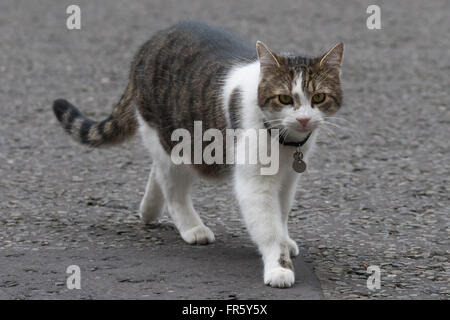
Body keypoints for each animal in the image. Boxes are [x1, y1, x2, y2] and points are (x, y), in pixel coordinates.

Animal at [52, 21, 342, 288]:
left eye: (318, 97)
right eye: (284, 99)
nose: (304, 119)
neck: (286, 143)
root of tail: (150, 42)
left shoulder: (288, 179)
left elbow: (280, 216)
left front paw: (285, 240)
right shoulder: (255, 183)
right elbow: (269, 227)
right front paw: (279, 267)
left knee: (157, 170)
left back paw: (148, 210)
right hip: (176, 144)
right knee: (172, 189)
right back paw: (191, 227)